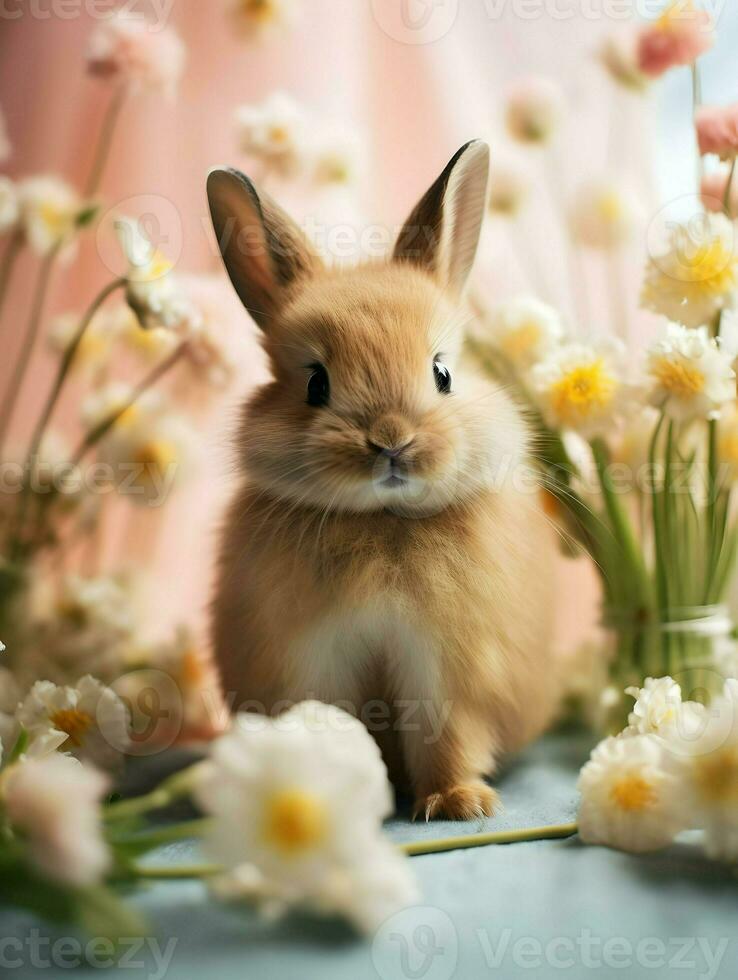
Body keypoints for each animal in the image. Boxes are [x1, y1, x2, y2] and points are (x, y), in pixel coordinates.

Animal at [206, 140, 552, 820]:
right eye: (316, 384)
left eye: (444, 373)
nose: (391, 440)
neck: (381, 522)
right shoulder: (310, 665)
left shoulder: (446, 671)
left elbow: (448, 737)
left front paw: (458, 804)